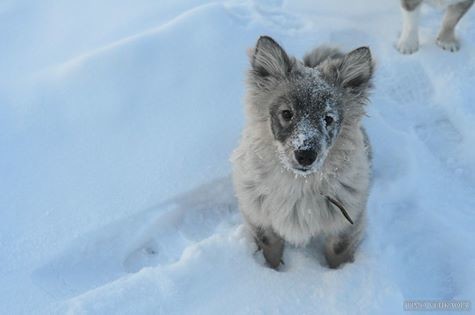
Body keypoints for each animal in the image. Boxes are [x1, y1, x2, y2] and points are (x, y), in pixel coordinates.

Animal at [231, 36, 376, 270]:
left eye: (328, 118)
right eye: (287, 113)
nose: (306, 155)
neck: (298, 185)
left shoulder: (347, 224)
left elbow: (337, 255)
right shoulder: (259, 219)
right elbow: (270, 252)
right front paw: (272, 272)